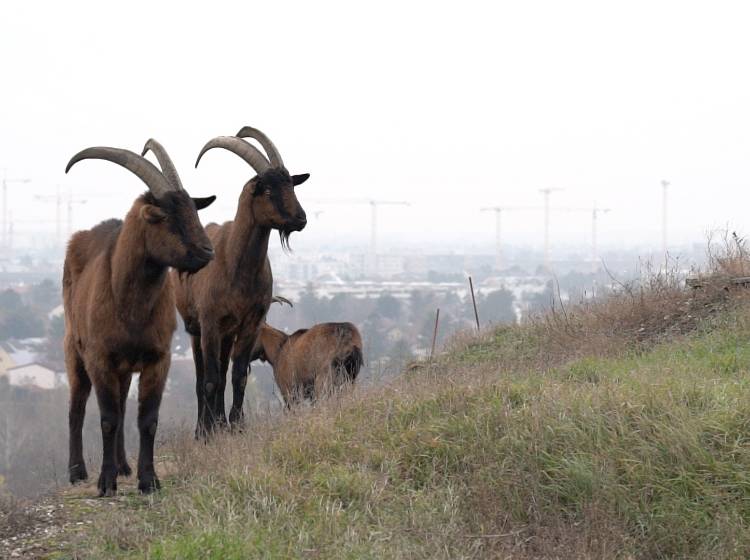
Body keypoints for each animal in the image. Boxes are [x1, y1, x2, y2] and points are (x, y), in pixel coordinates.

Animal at [62, 140, 216, 494]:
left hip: (123, 369)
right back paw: (77, 471)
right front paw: (105, 483)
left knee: (120, 403)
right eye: (164, 216)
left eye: (192, 208)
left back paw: (123, 466)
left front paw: (149, 480)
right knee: (77, 407)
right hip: (75, 351)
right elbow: (107, 419)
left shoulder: (157, 358)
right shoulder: (100, 357)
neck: (129, 305)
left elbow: (146, 419)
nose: (207, 251)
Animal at [172, 124, 310, 436]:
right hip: (196, 329)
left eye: (291, 184)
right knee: (203, 377)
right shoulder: (210, 323)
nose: (300, 218)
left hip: (226, 333)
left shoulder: (250, 323)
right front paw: (208, 432)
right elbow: (210, 380)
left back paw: (220, 421)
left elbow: (237, 376)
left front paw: (235, 425)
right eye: (267, 189)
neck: (237, 269)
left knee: (223, 372)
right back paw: (204, 427)